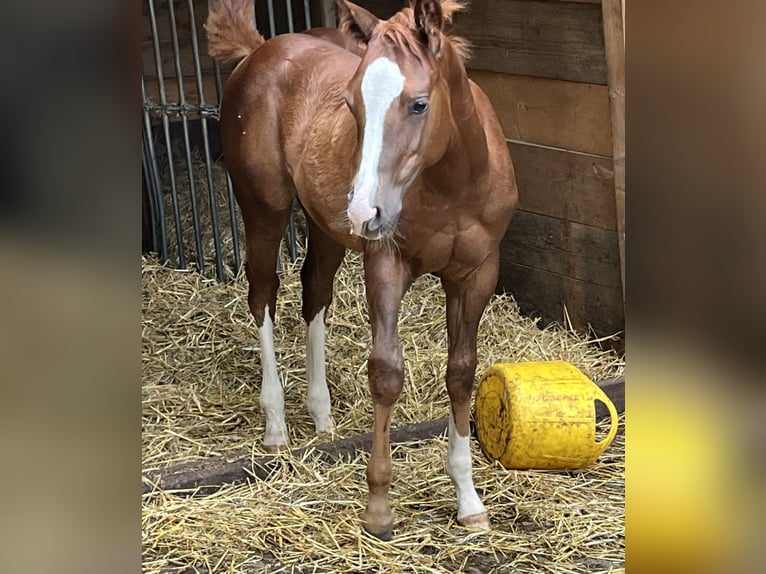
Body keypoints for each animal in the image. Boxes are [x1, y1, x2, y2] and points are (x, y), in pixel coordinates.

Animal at [207, 0, 520, 540]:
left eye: (419, 104)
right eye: (351, 105)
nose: (363, 212)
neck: (453, 185)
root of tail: (261, 50)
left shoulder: (477, 273)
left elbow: (461, 372)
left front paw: (469, 500)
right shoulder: (386, 265)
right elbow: (387, 373)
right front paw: (378, 509)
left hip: (326, 228)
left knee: (314, 292)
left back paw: (322, 416)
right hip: (266, 211)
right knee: (262, 293)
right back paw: (276, 425)